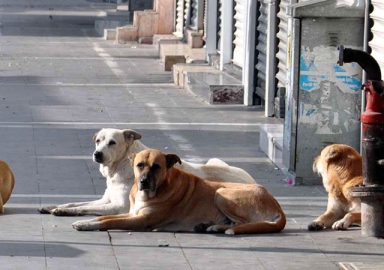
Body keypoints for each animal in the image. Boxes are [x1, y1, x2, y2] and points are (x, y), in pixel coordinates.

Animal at [39, 127, 256, 216]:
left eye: (112, 142)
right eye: (98, 140)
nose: (97, 154)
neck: (119, 167)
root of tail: (254, 182)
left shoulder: (119, 207)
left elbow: (82, 207)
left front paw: (63, 211)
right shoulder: (105, 200)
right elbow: (75, 202)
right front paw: (53, 206)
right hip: (213, 160)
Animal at [73, 149, 286, 235]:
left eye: (156, 166)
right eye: (139, 165)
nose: (143, 182)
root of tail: (277, 205)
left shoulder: (140, 220)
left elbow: (108, 222)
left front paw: (86, 225)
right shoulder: (132, 213)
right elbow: (103, 218)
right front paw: (86, 221)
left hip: (222, 193)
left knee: (243, 223)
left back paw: (217, 227)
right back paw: (210, 226)